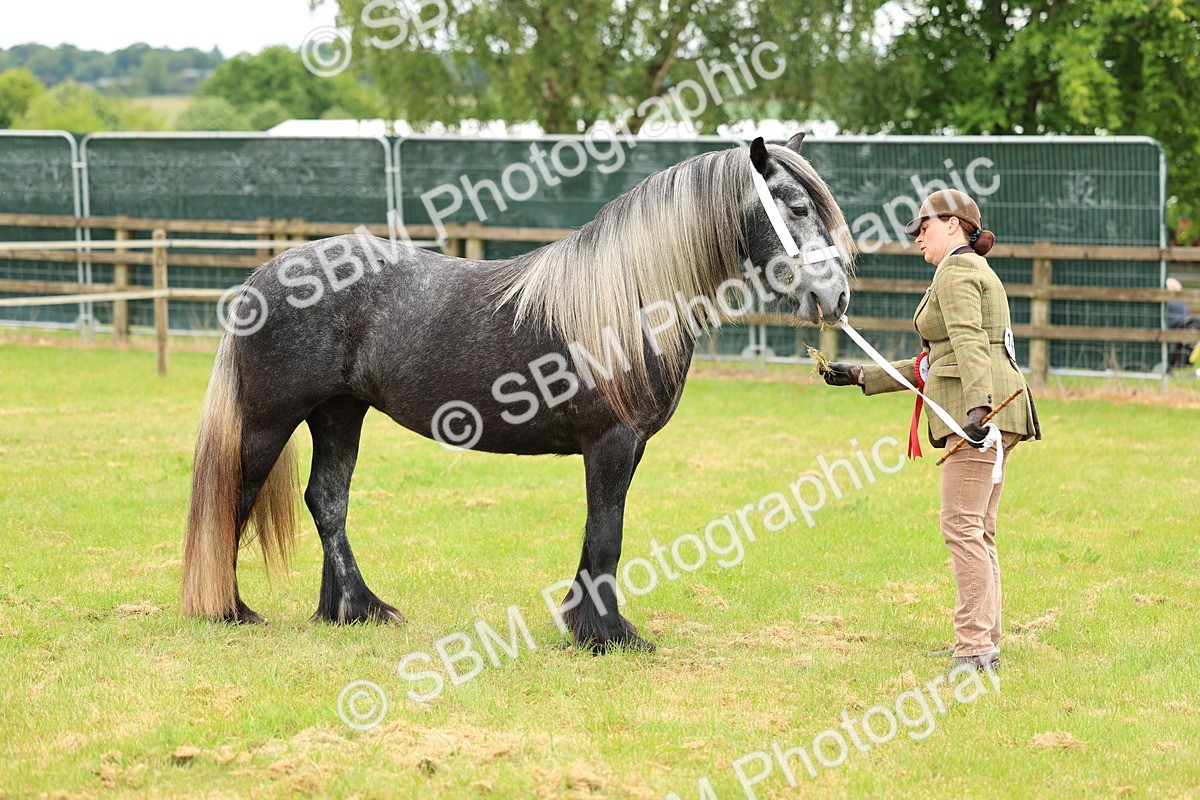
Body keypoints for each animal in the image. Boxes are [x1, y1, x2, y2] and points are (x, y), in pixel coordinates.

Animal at [181, 133, 855, 651]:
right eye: (797, 206)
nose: (838, 296)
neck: (627, 298)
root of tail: (267, 273)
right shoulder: (611, 442)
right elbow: (607, 533)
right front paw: (610, 636)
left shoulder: (625, 447)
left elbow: (597, 531)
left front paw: (583, 625)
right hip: (270, 420)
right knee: (236, 495)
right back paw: (230, 609)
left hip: (339, 413)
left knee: (326, 501)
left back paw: (357, 609)